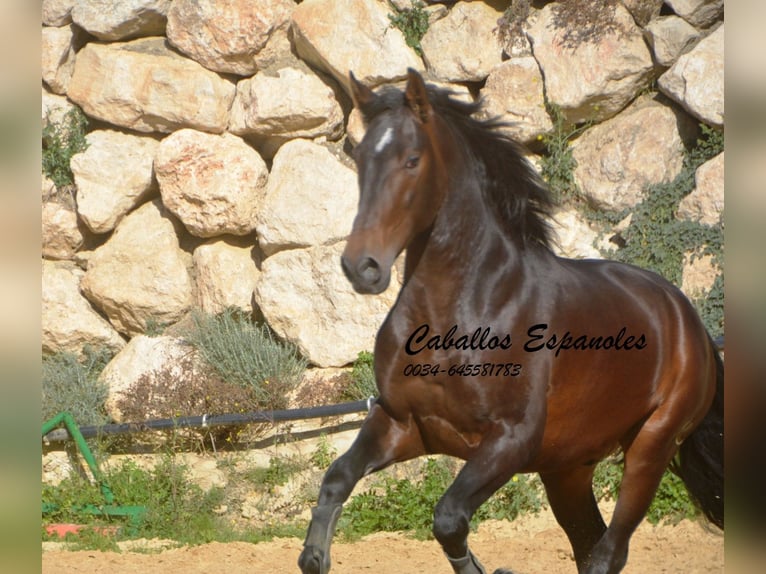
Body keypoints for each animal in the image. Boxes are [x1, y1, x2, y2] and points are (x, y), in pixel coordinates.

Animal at [296, 68, 724, 574]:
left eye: (412, 160)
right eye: (360, 158)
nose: (361, 267)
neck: (457, 317)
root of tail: (690, 322)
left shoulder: (509, 441)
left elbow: (448, 518)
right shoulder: (404, 424)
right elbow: (337, 478)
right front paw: (314, 555)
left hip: (651, 446)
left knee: (608, 551)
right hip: (567, 469)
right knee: (588, 544)